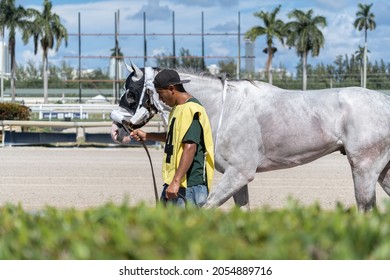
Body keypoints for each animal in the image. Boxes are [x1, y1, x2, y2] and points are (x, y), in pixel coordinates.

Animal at [110, 64, 390, 212]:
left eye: (132, 94)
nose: (116, 128)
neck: (226, 109)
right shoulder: (237, 177)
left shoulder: (239, 173)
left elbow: (205, 207)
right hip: (383, 171)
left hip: (364, 168)